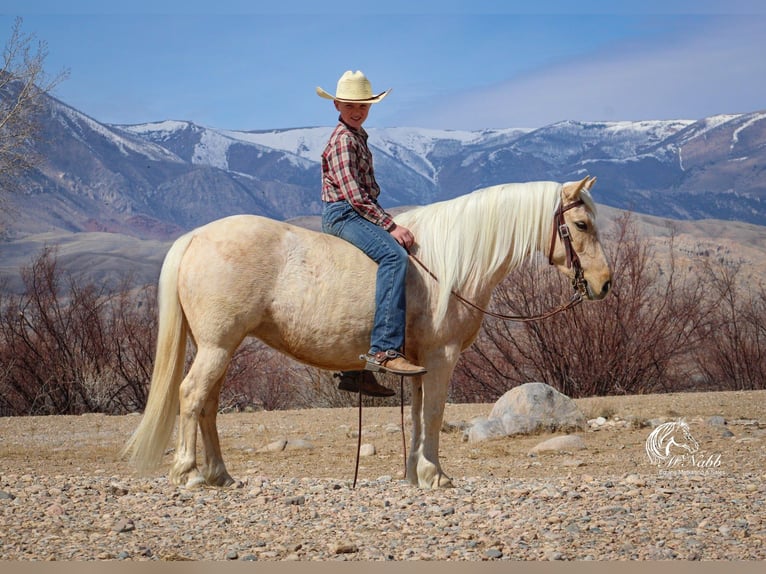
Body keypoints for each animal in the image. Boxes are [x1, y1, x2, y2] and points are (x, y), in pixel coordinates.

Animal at [123, 176, 612, 489]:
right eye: (581, 225)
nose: (604, 283)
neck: (449, 263)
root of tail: (195, 236)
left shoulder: (419, 362)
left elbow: (416, 416)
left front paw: (415, 474)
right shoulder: (442, 357)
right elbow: (434, 414)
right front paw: (436, 476)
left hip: (219, 348)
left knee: (207, 405)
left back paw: (220, 475)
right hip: (217, 346)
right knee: (191, 396)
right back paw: (189, 474)